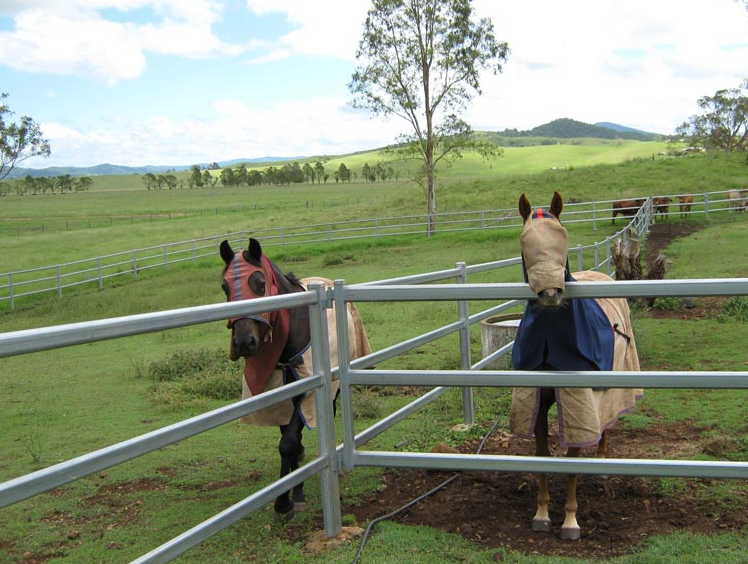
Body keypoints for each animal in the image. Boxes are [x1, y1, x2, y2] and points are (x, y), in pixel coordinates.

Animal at [221, 237, 372, 520]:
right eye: (224, 287)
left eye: (260, 284)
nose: (244, 342)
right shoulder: (280, 393)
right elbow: (290, 439)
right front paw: (295, 487)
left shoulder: (307, 390)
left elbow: (289, 442)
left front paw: (284, 502)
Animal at [512, 192, 644, 540]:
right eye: (524, 241)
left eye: (563, 236)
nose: (550, 293)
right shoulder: (538, 401)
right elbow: (543, 456)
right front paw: (542, 515)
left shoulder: (579, 400)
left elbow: (573, 460)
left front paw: (570, 521)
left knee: (607, 424)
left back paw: (601, 467)